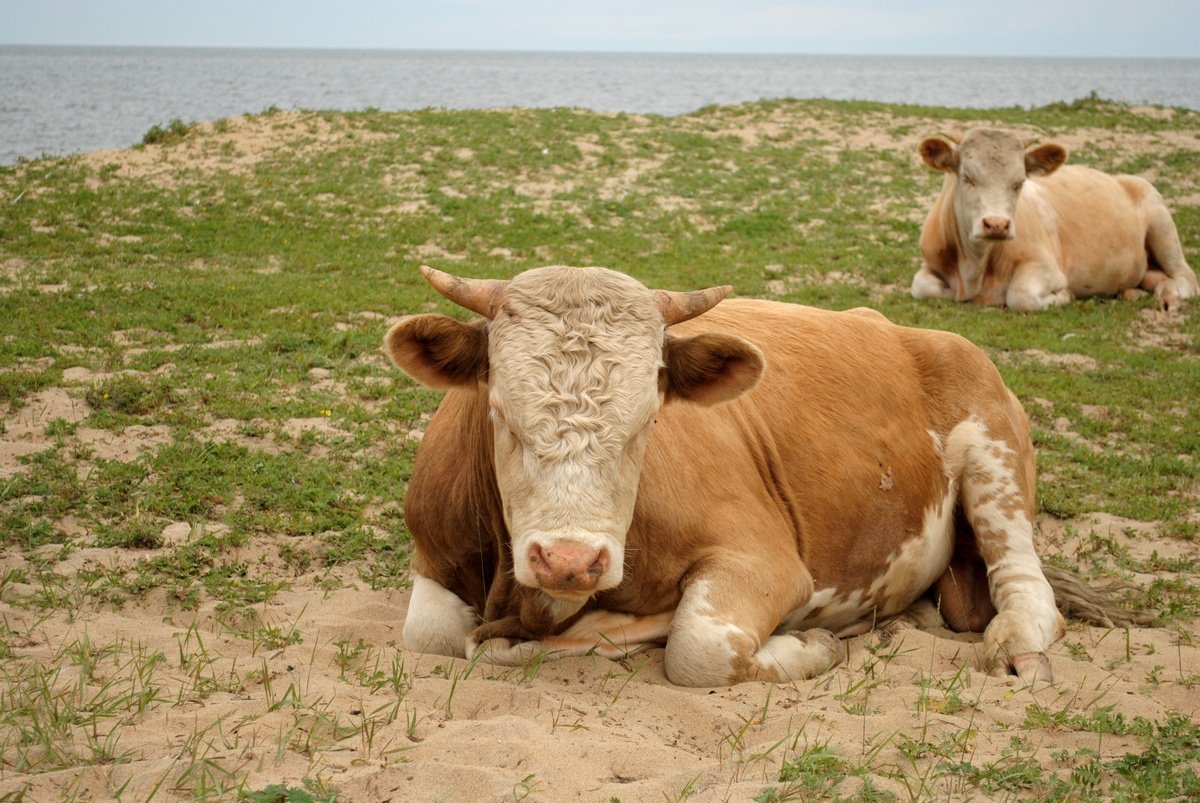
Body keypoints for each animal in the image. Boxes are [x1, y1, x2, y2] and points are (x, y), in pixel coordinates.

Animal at [387, 264, 1066, 687]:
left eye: (650, 418)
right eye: (499, 410)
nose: (570, 560)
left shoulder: (763, 560)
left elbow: (699, 649)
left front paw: (811, 645)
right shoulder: (434, 554)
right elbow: (430, 634)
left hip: (994, 451)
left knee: (1023, 579)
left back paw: (1018, 646)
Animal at [912, 128, 1198, 312]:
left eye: (1019, 182)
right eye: (968, 178)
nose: (997, 224)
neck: (975, 267)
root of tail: (1123, 178)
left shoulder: (1047, 268)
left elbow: (1021, 296)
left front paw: (1063, 296)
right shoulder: (930, 262)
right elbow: (922, 286)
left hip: (1161, 222)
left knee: (1186, 278)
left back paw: (1169, 295)